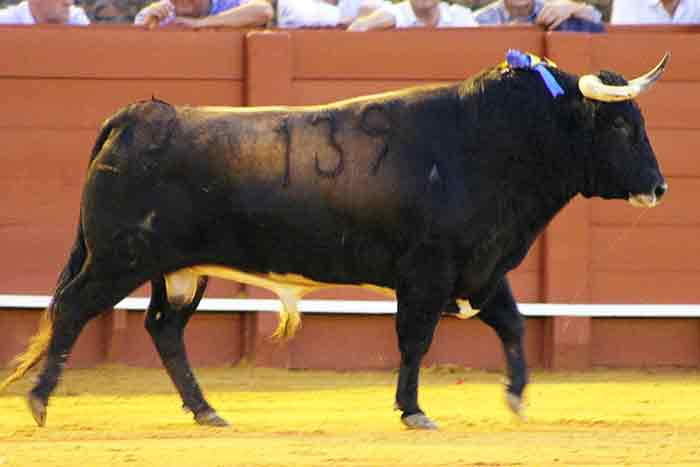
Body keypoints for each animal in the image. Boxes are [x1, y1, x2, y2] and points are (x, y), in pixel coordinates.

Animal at [0, 54, 668, 432]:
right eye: (620, 125)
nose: (660, 187)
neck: (495, 141)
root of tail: (139, 114)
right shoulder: (428, 271)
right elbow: (416, 339)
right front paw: (414, 410)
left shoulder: (480, 269)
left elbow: (513, 324)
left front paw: (518, 398)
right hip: (119, 259)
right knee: (73, 309)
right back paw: (39, 402)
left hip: (182, 270)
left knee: (164, 328)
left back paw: (207, 411)